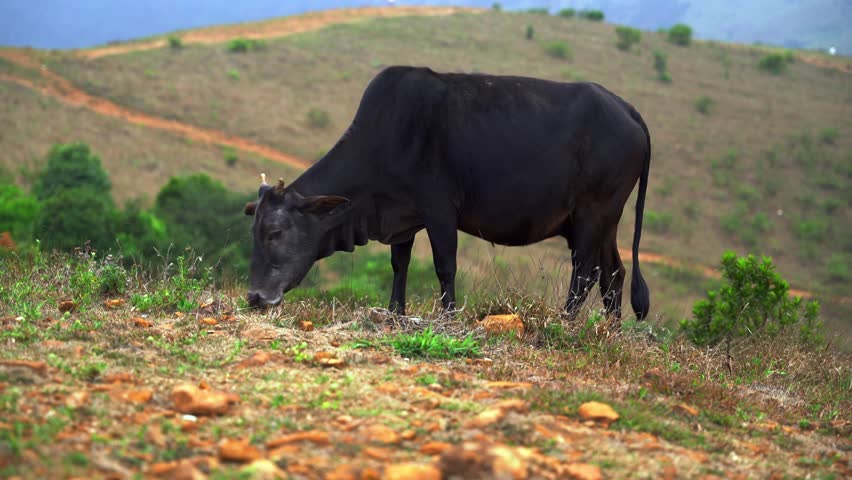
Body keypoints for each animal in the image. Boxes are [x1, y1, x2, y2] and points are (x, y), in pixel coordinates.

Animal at [244, 66, 651, 321]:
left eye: (275, 232)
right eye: (255, 232)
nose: (255, 297)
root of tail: (626, 108)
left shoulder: (439, 211)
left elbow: (445, 266)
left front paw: (449, 317)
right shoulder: (401, 220)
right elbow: (399, 266)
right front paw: (396, 312)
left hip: (592, 214)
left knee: (584, 272)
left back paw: (565, 321)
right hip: (604, 222)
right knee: (613, 274)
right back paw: (609, 331)